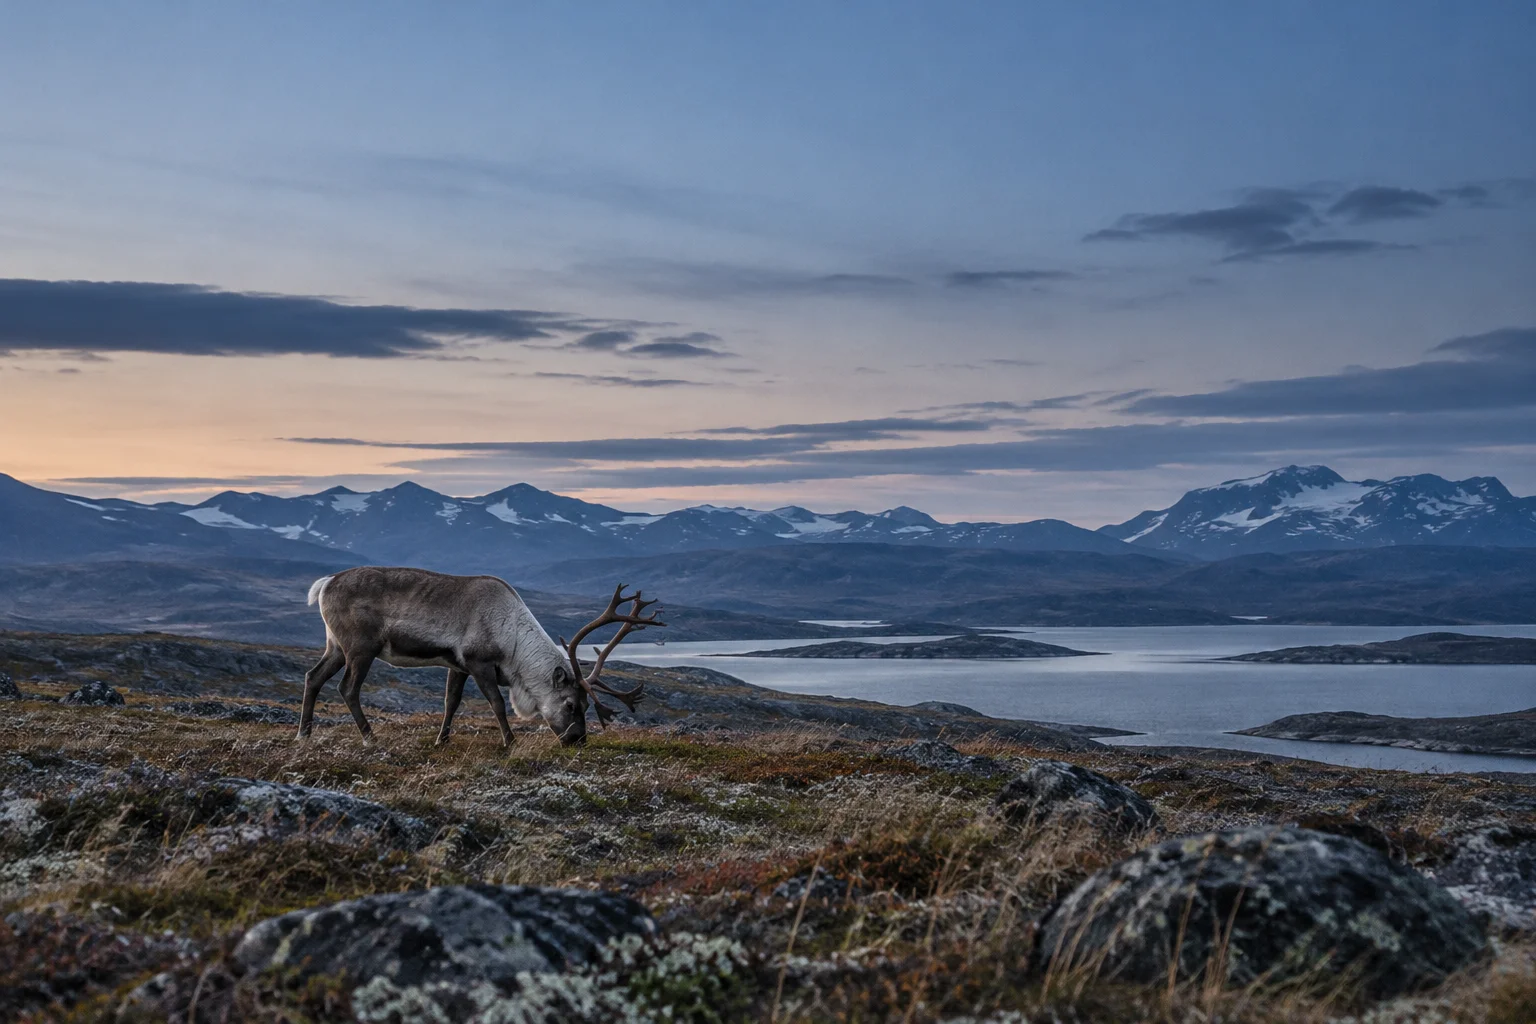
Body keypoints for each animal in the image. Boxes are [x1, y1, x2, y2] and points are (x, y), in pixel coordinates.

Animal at [298, 566, 662, 747]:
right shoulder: (479, 663)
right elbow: (498, 704)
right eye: (571, 704)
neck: (513, 642)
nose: (578, 740)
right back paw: (370, 739)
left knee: (313, 677)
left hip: (335, 645)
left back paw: (304, 734)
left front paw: (441, 741)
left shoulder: (456, 665)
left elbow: (451, 702)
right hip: (361, 647)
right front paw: (510, 741)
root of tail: (325, 584)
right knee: (348, 688)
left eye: (588, 706)